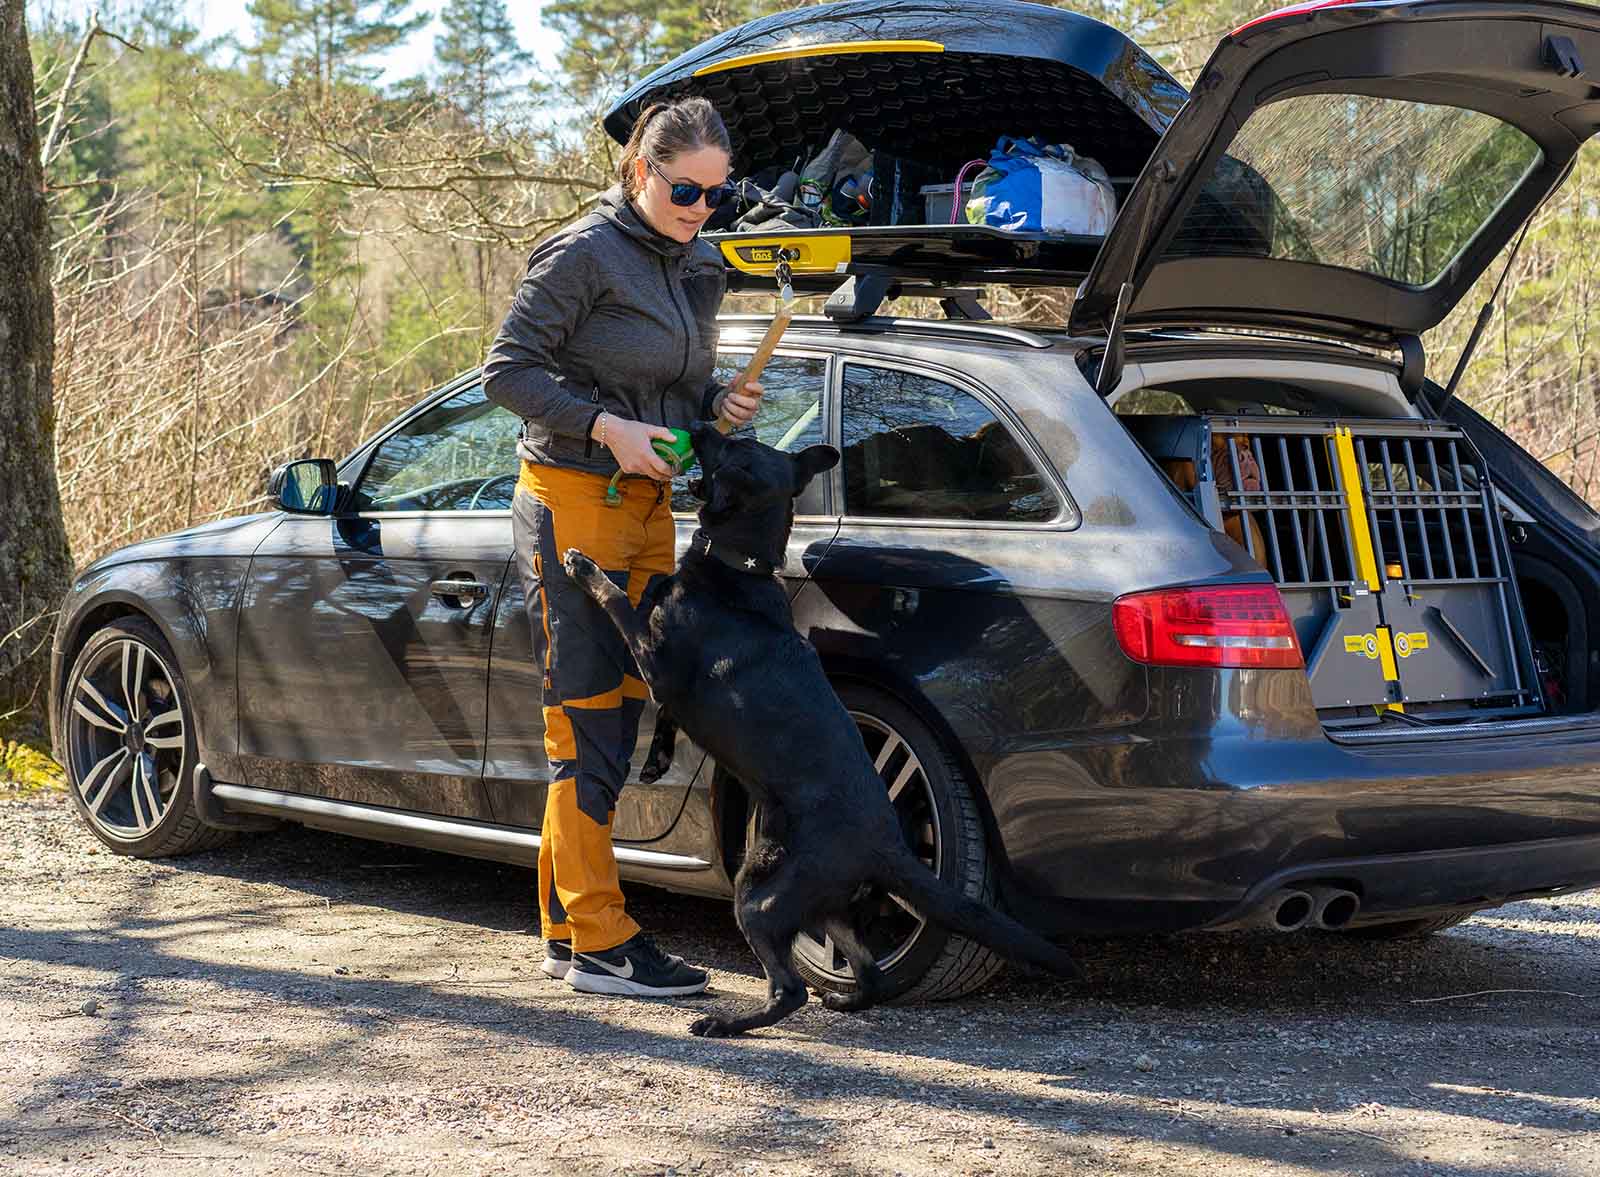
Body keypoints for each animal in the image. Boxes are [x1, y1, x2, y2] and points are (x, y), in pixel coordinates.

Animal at [560, 425, 1075, 1036]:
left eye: (732, 448)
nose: (707, 424)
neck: (740, 565)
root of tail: (887, 846)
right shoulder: (669, 686)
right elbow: (664, 704)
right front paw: (658, 759)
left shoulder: (654, 658)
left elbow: (617, 598)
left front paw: (583, 565)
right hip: (815, 900)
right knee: (867, 973)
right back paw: (842, 1001)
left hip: (758, 897)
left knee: (790, 990)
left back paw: (728, 1023)